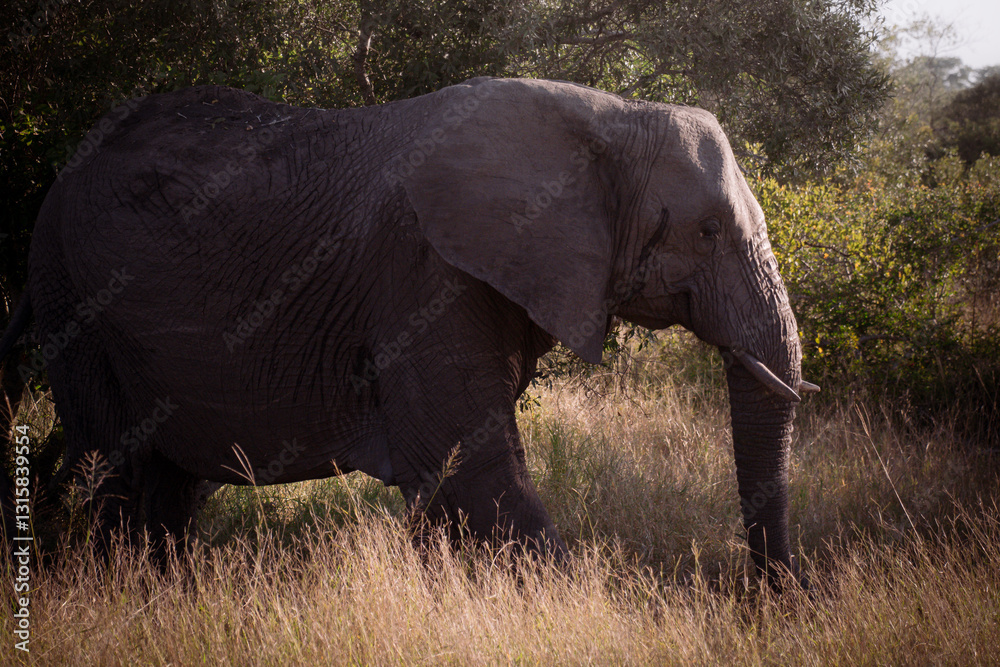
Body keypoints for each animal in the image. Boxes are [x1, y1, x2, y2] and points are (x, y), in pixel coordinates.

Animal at [0, 77, 817, 585]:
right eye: (707, 232)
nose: (771, 602)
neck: (609, 116)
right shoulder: (423, 272)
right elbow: (473, 468)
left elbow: (445, 479)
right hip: (73, 291)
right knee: (115, 466)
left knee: (167, 484)